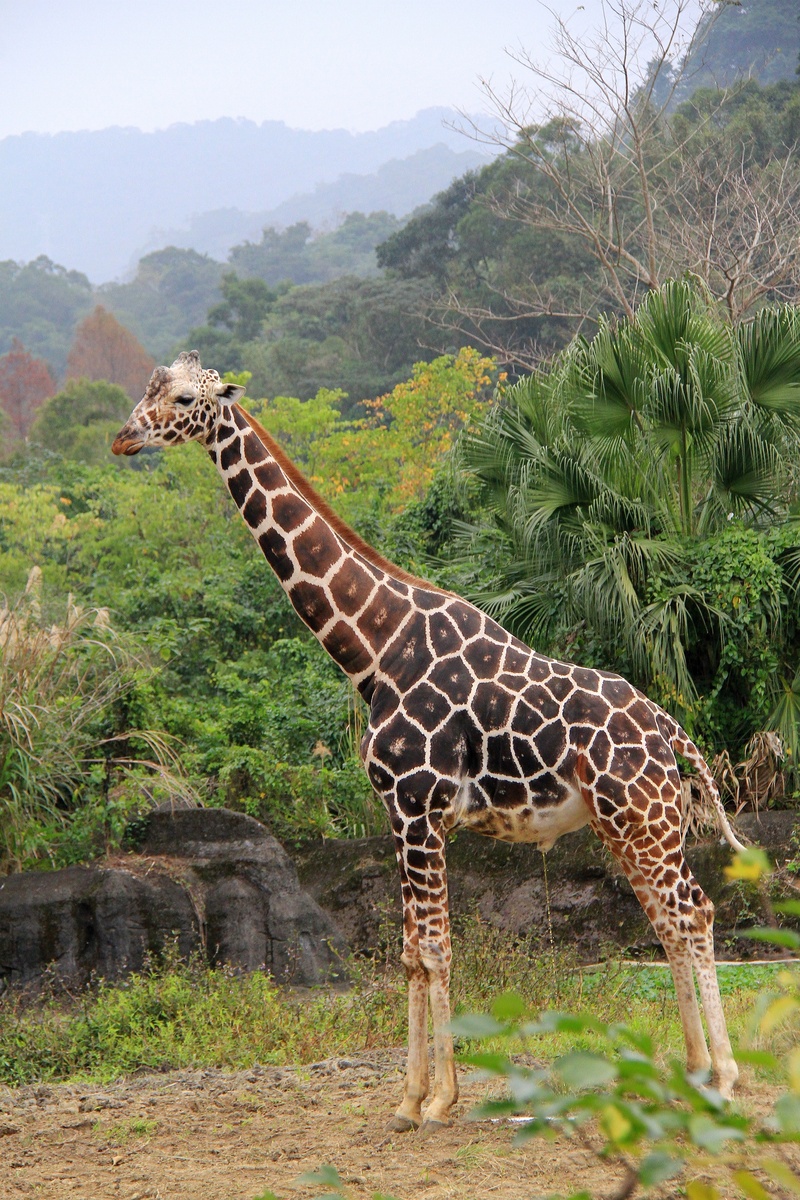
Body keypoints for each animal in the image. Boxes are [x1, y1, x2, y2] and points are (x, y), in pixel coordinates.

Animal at [113, 351, 745, 1131]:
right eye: (148, 389)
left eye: (182, 399)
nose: (125, 438)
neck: (375, 648)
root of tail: (671, 732)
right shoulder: (398, 812)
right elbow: (412, 950)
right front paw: (409, 1097)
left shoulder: (419, 807)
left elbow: (437, 947)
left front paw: (441, 1098)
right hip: (632, 824)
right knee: (667, 919)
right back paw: (690, 1070)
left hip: (643, 821)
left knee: (693, 912)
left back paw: (723, 1076)